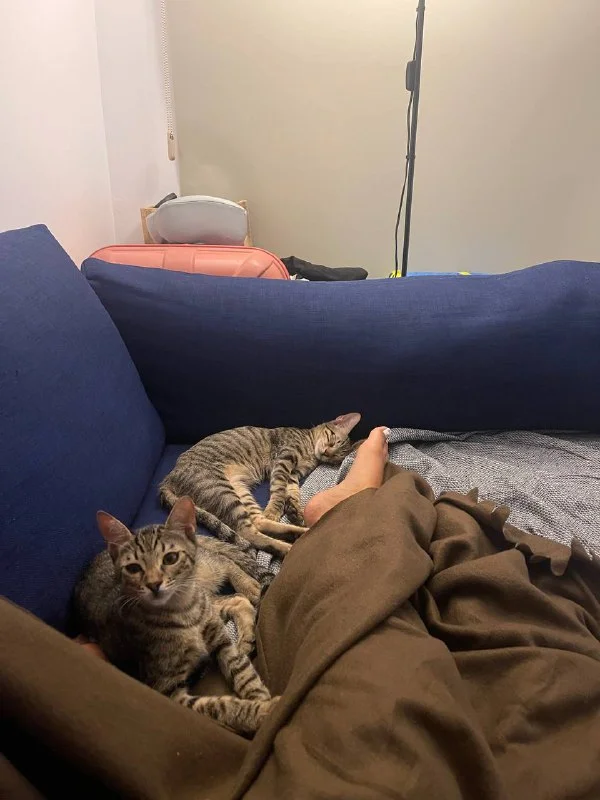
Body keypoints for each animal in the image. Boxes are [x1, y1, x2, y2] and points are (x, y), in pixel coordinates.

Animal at [74, 496, 278, 735]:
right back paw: (246, 636)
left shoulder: (220, 640)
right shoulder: (168, 690)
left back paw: (248, 586)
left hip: (207, 576)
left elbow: (242, 671)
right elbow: (218, 705)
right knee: (236, 599)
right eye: (133, 568)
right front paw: (260, 710)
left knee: (223, 561)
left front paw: (260, 697)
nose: (154, 584)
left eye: (170, 558)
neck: (183, 611)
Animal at [159, 413, 362, 558]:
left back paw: (300, 534)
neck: (310, 451)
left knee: (257, 522)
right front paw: (275, 510)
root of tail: (169, 477)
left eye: (337, 456)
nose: (327, 451)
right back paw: (290, 547)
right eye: (332, 437)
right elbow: (279, 490)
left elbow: (292, 492)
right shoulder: (283, 460)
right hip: (221, 490)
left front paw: (295, 510)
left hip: (239, 491)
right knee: (247, 532)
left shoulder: (293, 474)